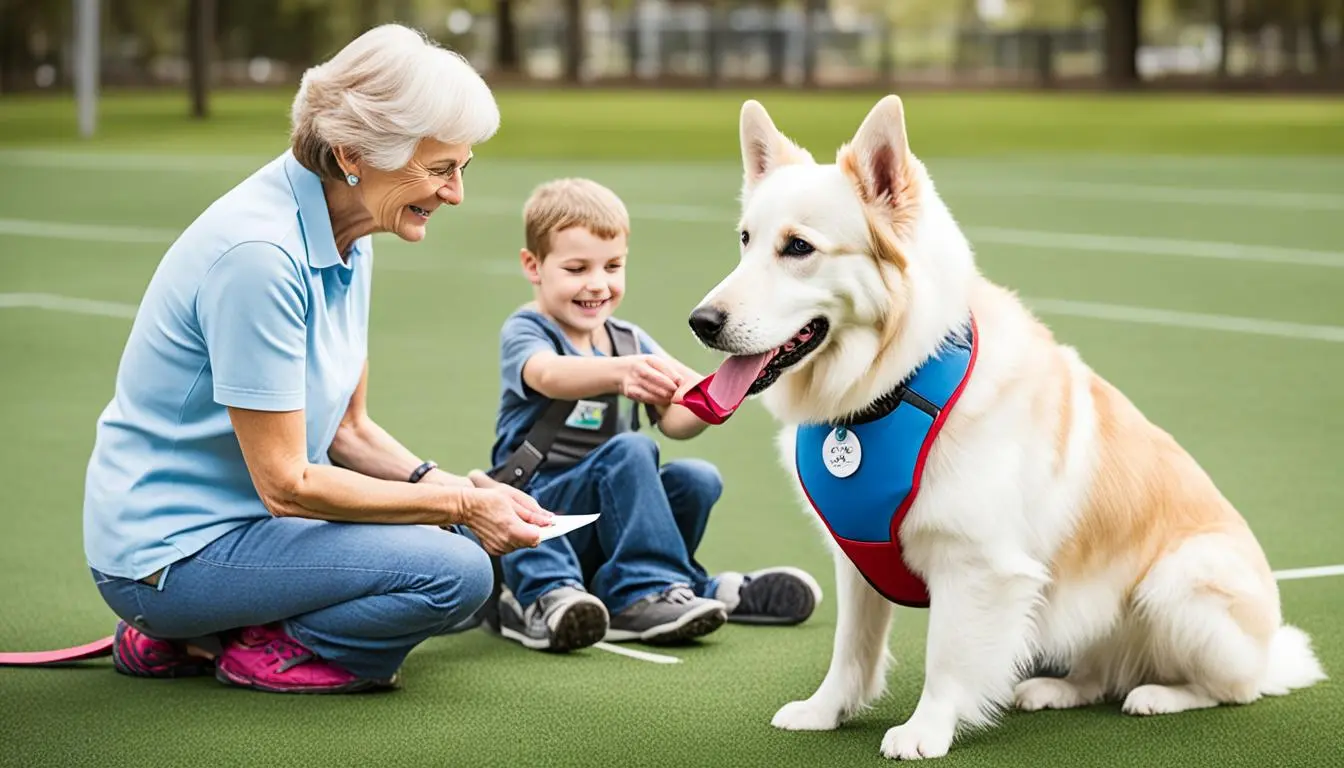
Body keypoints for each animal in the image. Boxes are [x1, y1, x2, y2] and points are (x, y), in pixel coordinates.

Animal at [682, 94, 1322, 758]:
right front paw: (825, 711)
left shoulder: (976, 566)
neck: (892, 386)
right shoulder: (856, 558)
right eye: (746, 240)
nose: (701, 321)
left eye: (799, 248)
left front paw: (924, 732)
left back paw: (1161, 695)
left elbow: (946, 659)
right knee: (1102, 674)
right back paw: (1057, 689)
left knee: (1233, 687)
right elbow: (851, 650)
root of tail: (1271, 651)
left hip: (1179, 581)